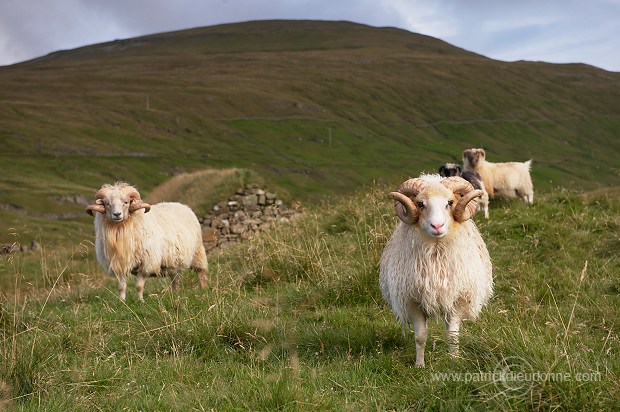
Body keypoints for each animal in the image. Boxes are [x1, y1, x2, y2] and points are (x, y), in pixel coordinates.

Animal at [378, 174, 494, 366]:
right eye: (420, 204)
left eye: (450, 202)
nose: (437, 226)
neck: (435, 252)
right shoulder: (412, 301)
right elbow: (420, 337)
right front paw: (419, 365)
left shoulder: (456, 299)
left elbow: (452, 336)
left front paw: (455, 361)